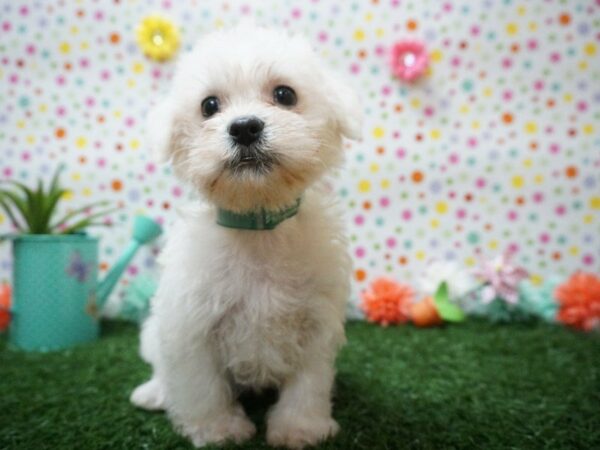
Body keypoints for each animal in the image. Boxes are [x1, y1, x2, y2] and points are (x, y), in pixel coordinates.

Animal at [131, 25, 360, 450]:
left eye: (285, 95)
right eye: (209, 105)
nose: (244, 127)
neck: (257, 228)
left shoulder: (316, 322)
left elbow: (309, 383)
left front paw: (300, 428)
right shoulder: (190, 327)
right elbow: (201, 387)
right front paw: (218, 429)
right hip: (153, 333)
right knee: (163, 372)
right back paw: (153, 393)